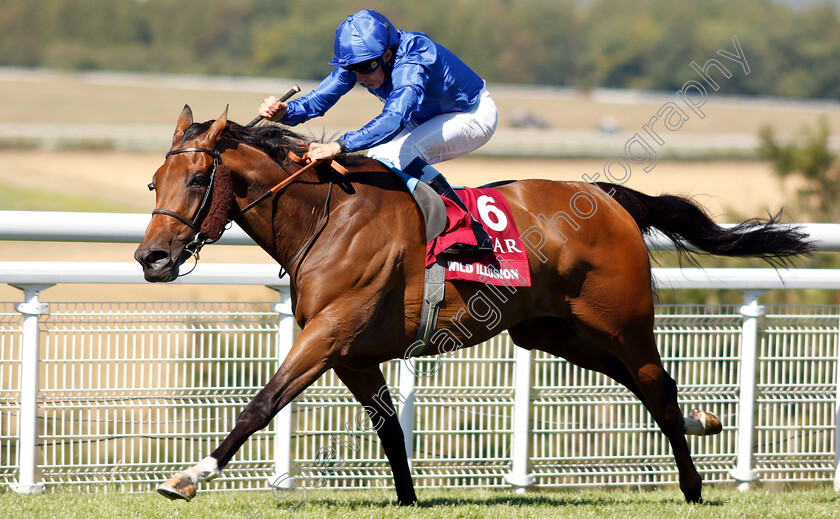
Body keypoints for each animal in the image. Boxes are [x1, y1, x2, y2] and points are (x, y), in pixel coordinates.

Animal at [138, 106, 812, 508]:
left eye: (197, 180)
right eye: (153, 181)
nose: (151, 258)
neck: (327, 218)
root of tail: (608, 196)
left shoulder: (328, 335)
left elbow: (261, 404)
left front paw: (189, 476)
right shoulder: (352, 353)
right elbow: (389, 429)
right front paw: (408, 500)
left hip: (621, 320)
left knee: (656, 383)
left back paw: (693, 484)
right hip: (550, 330)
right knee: (640, 383)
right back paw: (704, 425)